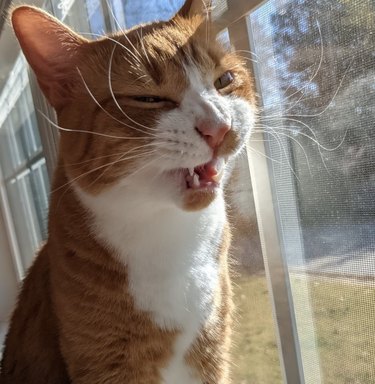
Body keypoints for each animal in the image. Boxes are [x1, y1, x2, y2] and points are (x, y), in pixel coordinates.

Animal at [0, 1, 258, 382]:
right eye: (148, 98)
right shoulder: (108, 363)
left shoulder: (212, 351)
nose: (219, 128)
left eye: (224, 81)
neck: (170, 239)